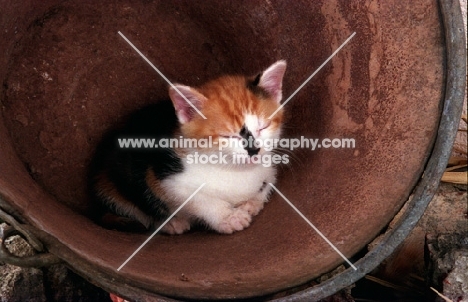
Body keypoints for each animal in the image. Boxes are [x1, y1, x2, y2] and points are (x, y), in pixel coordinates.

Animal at [87, 60, 286, 235]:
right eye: (228, 136)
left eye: (263, 127)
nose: (254, 150)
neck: (233, 170)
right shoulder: (163, 176)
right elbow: (198, 198)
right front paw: (229, 217)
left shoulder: (268, 167)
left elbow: (268, 181)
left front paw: (252, 203)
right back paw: (171, 223)